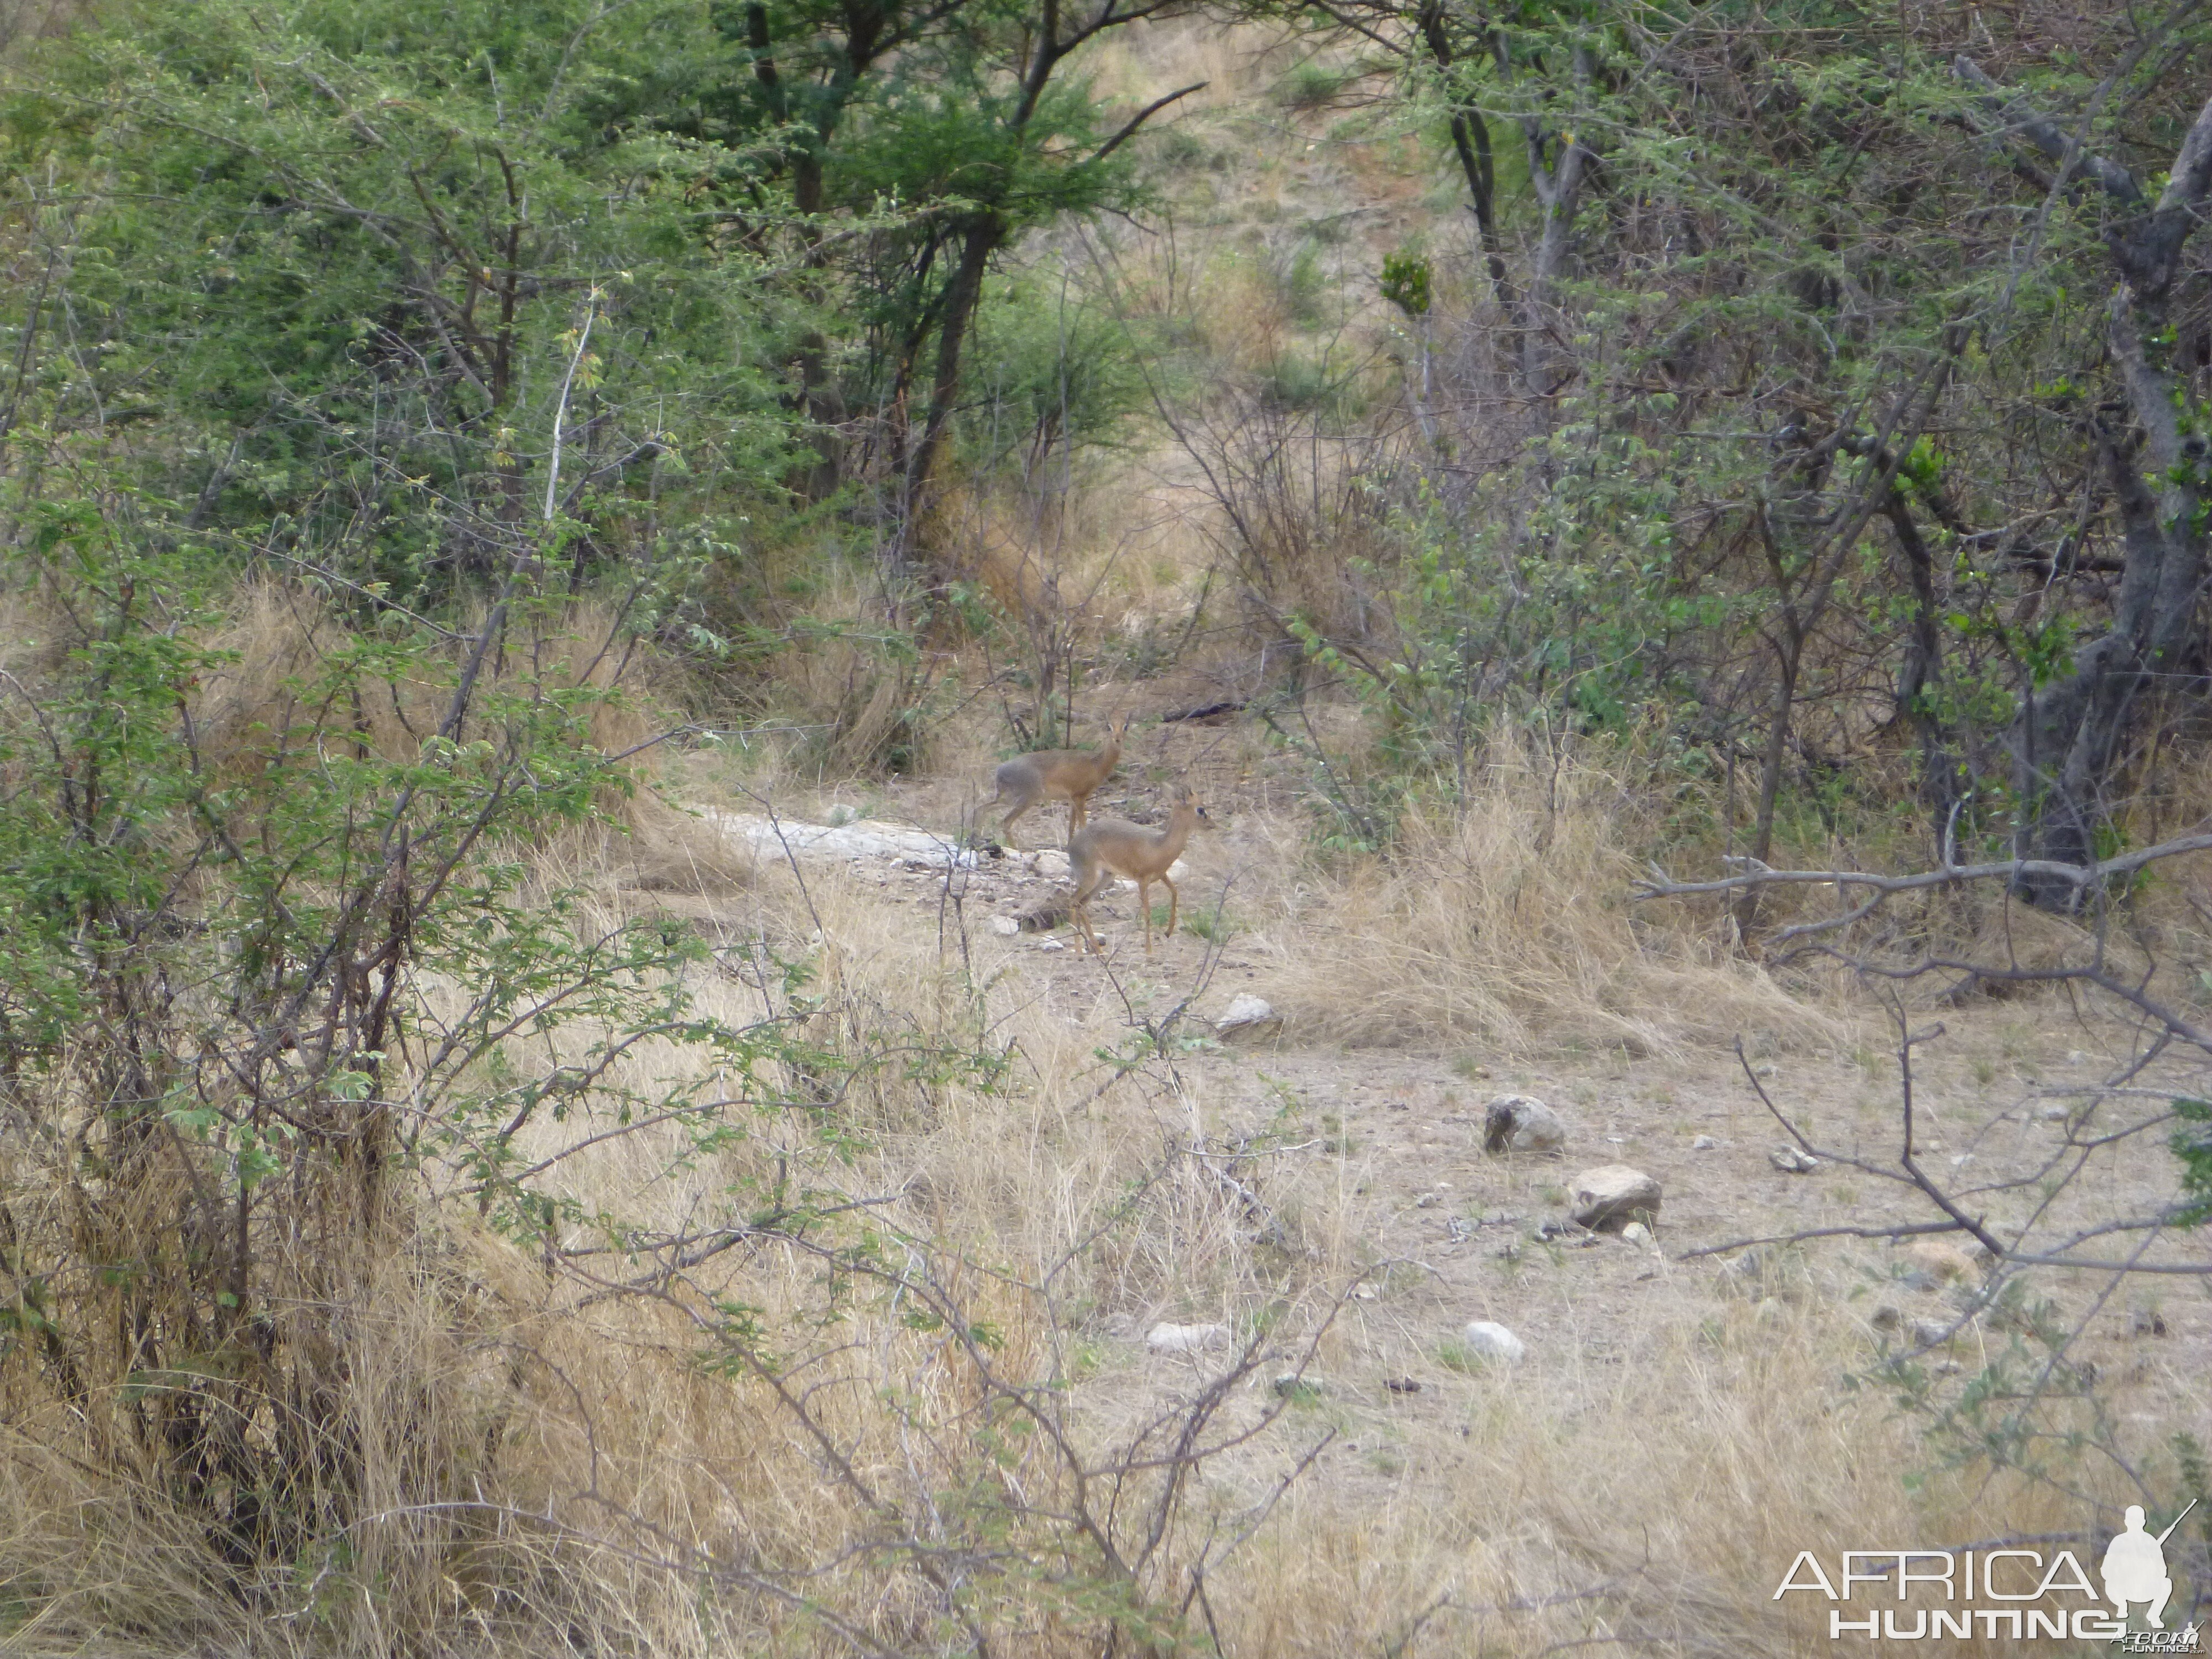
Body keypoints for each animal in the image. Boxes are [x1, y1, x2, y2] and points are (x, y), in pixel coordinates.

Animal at [987, 712, 1133, 845]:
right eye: (1109, 727)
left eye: (1126, 726)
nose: (1117, 739)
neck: (1097, 764)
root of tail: (1000, 770)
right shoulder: (1080, 797)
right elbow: (1083, 825)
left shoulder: (1073, 799)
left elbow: (1071, 826)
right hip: (1027, 799)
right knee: (1005, 822)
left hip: (1008, 799)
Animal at [1066, 792, 1212, 960]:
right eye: (1201, 809)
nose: (1212, 824)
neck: (1159, 846)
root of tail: (1071, 846)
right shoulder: (1143, 881)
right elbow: (1147, 912)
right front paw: (1149, 950)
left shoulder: (1161, 875)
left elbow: (1175, 892)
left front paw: (1168, 932)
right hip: (1090, 879)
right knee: (1073, 901)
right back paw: (1082, 950)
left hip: (1106, 878)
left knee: (1082, 904)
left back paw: (1094, 950)